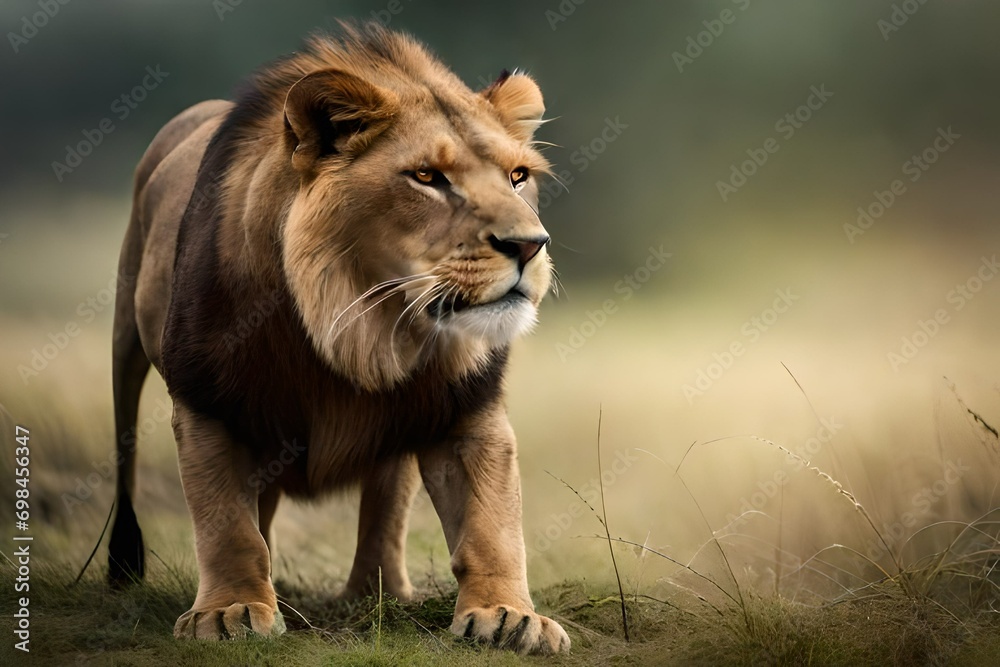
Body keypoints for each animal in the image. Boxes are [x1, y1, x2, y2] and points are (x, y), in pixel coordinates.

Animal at [106, 23, 569, 655]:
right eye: (427, 177)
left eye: (518, 177)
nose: (529, 244)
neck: (360, 323)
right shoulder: (208, 405)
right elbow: (227, 525)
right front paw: (229, 612)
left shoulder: (466, 409)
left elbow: (493, 523)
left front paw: (508, 614)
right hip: (125, 346)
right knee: (127, 451)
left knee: (384, 506)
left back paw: (379, 596)